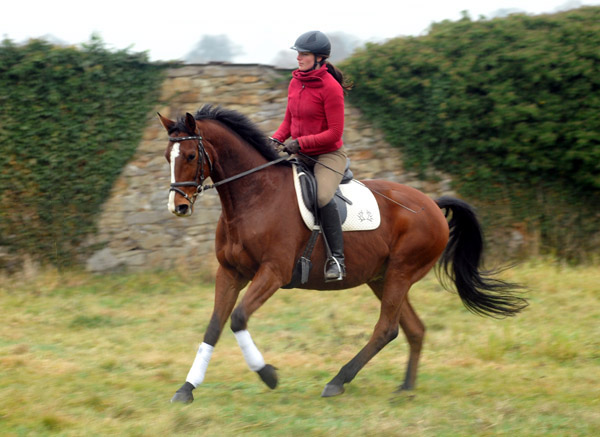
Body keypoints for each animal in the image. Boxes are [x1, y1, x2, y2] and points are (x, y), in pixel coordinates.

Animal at [157, 104, 528, 404]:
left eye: (190, 156)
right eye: (166, 157)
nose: (178, 207)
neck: (253, 197)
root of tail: (432, 205)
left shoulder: (273, 272)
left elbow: (237, 319)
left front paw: (268, 375)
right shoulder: (230, 273)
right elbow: (214, 326)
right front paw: (187, 388)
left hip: (401, 272)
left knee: (387, 329)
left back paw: (338, 381)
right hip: (382, 277)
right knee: (413, 328)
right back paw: (405, 387)